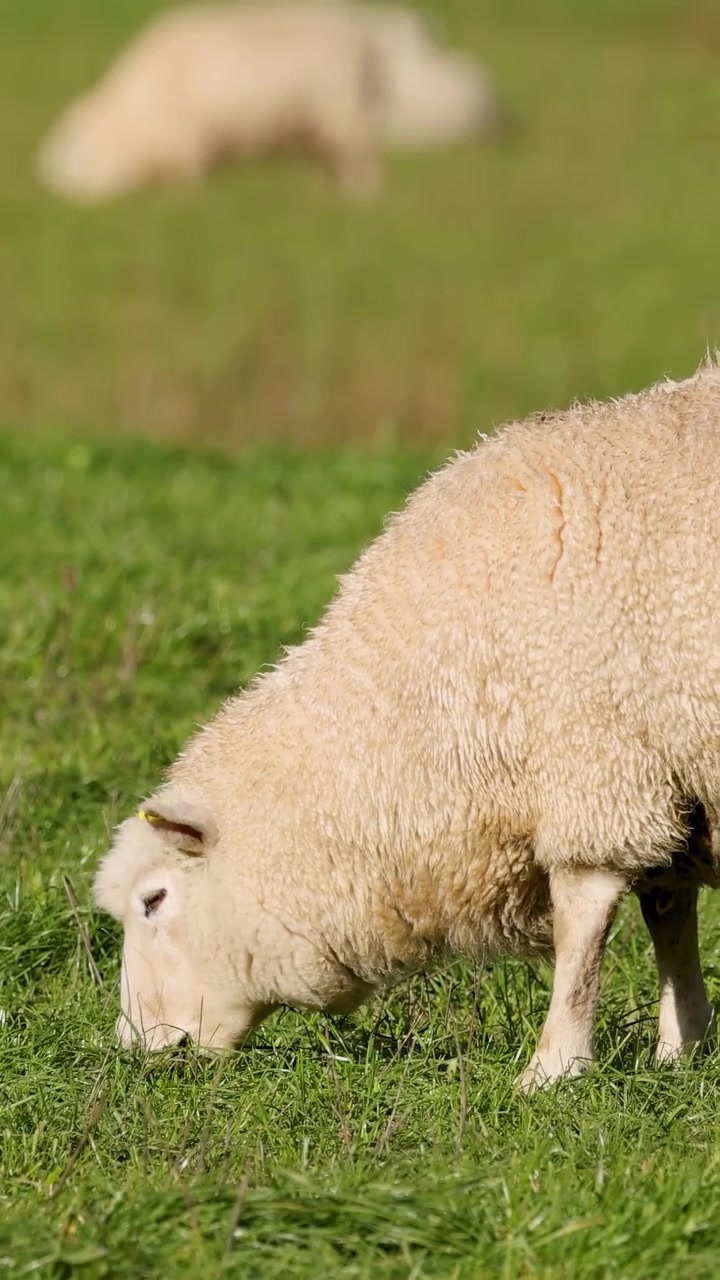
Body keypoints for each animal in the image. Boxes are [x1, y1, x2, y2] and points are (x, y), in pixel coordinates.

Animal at [35, 2, 501, 203]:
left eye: (77, 157)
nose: (61, 196)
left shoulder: (185, 145)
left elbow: (187, 178)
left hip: (343, 113)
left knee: (360, 161)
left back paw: (356, 197)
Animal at [94, 362, 720, 1091]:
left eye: (154, 900)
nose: (133, 1049)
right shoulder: (666, 771)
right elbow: (668, 912)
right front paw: (682, 1045)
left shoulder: (597, 765)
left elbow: (583, 926)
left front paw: (555, 1067)